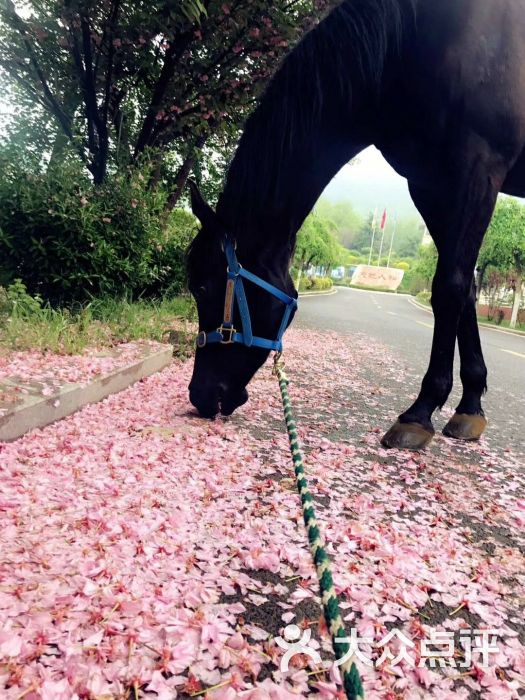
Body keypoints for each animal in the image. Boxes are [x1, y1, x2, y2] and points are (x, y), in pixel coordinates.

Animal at [186, 0, 520, 448]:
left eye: (203, 287)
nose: (199, 394)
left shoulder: (479, 167)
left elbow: (449, 288)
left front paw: (420, 412)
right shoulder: (430, 184)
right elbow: (465, 289)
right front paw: (469, 407)